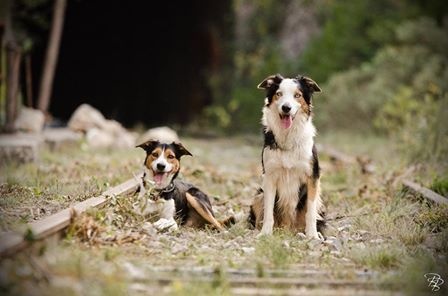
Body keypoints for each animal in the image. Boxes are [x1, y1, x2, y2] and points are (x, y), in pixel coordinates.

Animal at [248, 73, 326, 238]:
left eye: (297, 95)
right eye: (279, 94)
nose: (286, 108)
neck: (288, 138)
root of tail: (288, 228)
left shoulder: (312, 177)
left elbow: (310, 212)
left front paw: (312, 236)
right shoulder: (269, 177)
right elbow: (268, 211)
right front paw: (265, 234)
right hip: (259, 194)